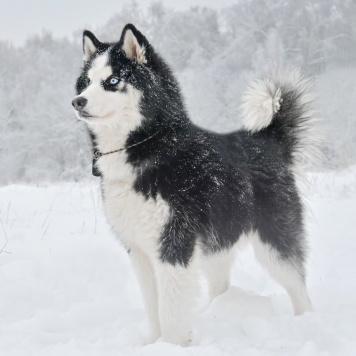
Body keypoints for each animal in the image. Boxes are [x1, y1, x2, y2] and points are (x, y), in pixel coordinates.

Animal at [71, 24, 314, 344]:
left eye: (112, 80)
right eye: (86, 82)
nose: (77, 102)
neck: (151, 146)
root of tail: (267, 140)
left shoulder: (174, 245)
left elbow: (171, 313)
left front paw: (173, 345)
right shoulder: (139, 251)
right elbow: (154, 309)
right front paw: (153, 343)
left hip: (274, 243)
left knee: (299, 289)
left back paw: (306, 324)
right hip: (218, 243)